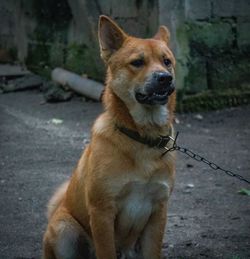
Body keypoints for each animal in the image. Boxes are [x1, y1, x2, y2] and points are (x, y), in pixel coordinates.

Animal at [42, 14, 176, 259]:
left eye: (167, 61)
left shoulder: (158, 213)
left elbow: (154, 250)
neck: (143, 136)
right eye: (137, 62)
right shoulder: (102, 212)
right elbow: (106, 250)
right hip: (65, 229)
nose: (165, 78)